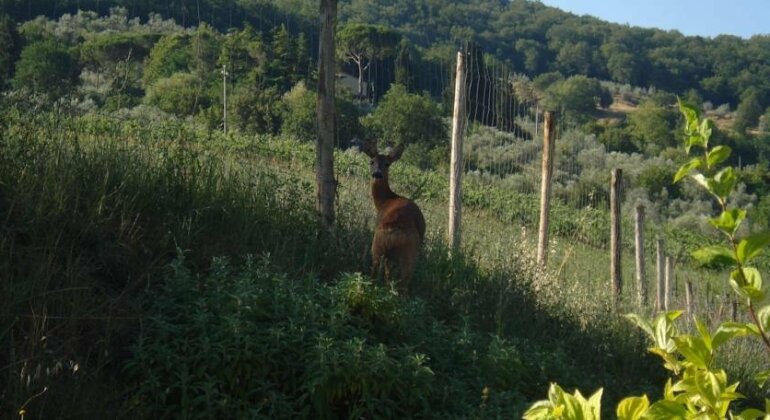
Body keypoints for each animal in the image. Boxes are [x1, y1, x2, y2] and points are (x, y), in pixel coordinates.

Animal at [360, 139, 426, 294]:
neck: (386, 200)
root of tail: (393, 231)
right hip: (404, 254)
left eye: (387, 164)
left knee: (378, 274)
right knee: (399, 281)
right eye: (371, 161)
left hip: (379, 247)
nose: (377, 174)